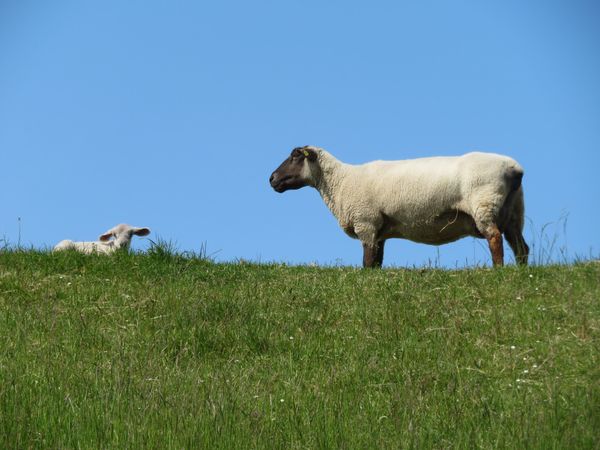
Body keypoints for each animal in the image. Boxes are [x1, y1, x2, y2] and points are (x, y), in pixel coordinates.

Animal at [270, 146, 528, 268]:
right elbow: (377, 262)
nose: (271, 179)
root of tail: (515, 169)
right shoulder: (379, 230)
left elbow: (367, 262)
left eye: (295, 156)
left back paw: (498, 271)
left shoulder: (366, 223)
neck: (340, 181)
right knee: (521, 247)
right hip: (513, 212)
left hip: (484, 204)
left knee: (494, 239)